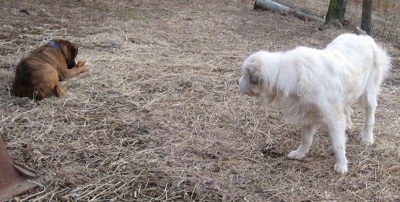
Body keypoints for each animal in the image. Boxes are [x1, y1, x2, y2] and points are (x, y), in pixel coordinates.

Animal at [239, 33, 392, 174]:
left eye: (245, 75)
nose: (237, 82)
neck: (286, 73)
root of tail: (364, 37)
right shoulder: (307, 115)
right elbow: (306, 139)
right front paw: (300, 153)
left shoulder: (333, 118)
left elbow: (337, 144)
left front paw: (341, 164)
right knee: (347, 108)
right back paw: (348, 125)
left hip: (367, 94)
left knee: (370, 116)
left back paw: (367, 138)